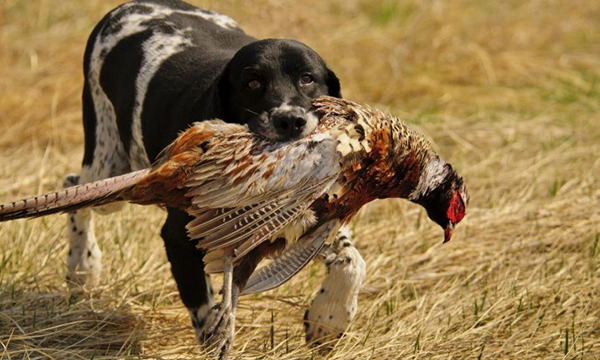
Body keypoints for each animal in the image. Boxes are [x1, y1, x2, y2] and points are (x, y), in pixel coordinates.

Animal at [64, 0, 366, 348]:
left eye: (308, 78)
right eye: (252, 82)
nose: (290, 120)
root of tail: (126, 7)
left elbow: (352, 262)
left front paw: (329, 318)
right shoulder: (179, 240)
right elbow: (210, 321)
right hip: (110, 168)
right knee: (75, 190)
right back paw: (82, 266)